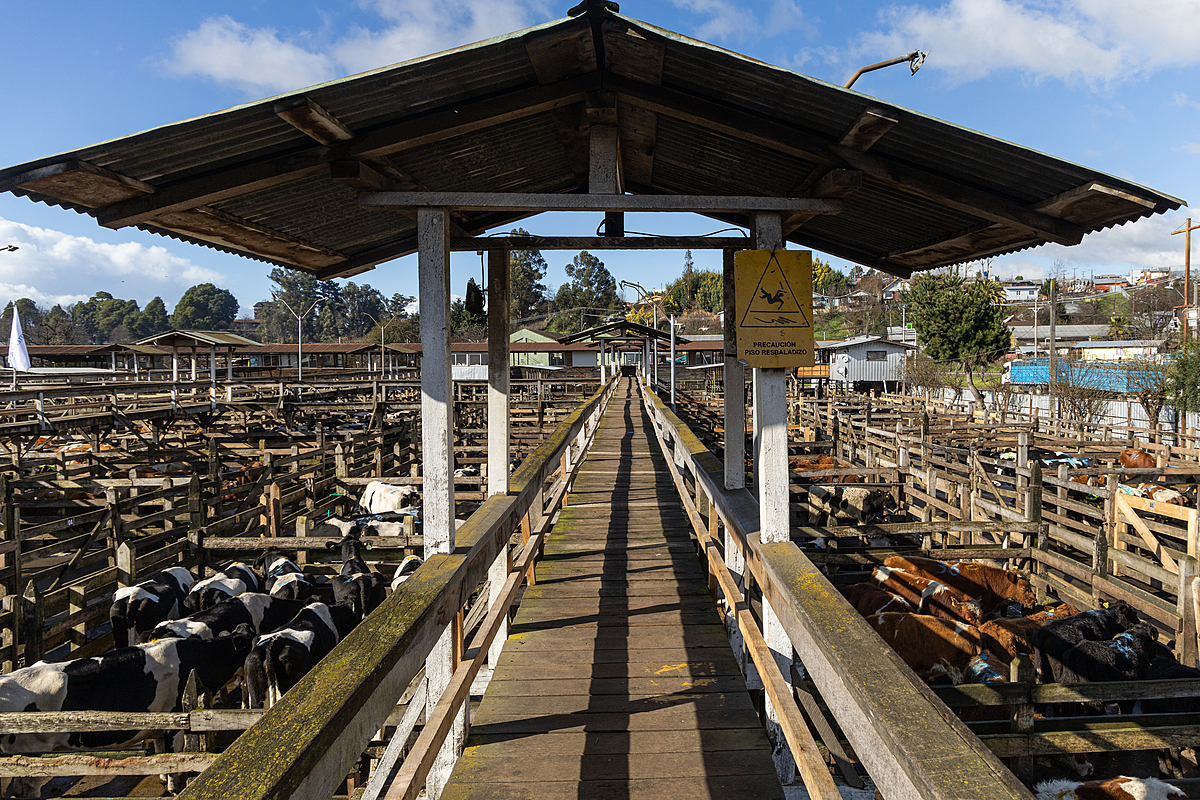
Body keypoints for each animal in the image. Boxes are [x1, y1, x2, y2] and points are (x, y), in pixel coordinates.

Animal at [0, 628, 253, 796]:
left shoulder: (159, 724)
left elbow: (161, 753)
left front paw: (162, 779)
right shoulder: (174, 721)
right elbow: (173, 757)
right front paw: (173, 786)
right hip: (33, 754)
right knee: (27, 788)